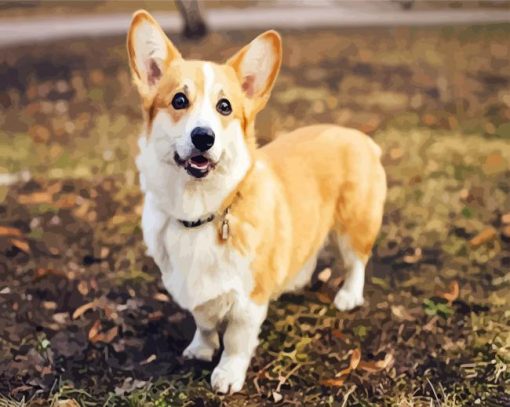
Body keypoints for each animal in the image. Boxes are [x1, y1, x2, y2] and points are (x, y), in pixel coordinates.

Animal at [126, 10, 386, 396]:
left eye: (225, 107)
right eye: (178, 101)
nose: (203, 137)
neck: (200, 212)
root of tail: (360, 136)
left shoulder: (248, 302)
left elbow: (236, 339)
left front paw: (228, 374)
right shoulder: (195, 293)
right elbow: (204, 323)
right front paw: (200, 349)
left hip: (354, 225)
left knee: (356, 262)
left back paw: (349, 296)